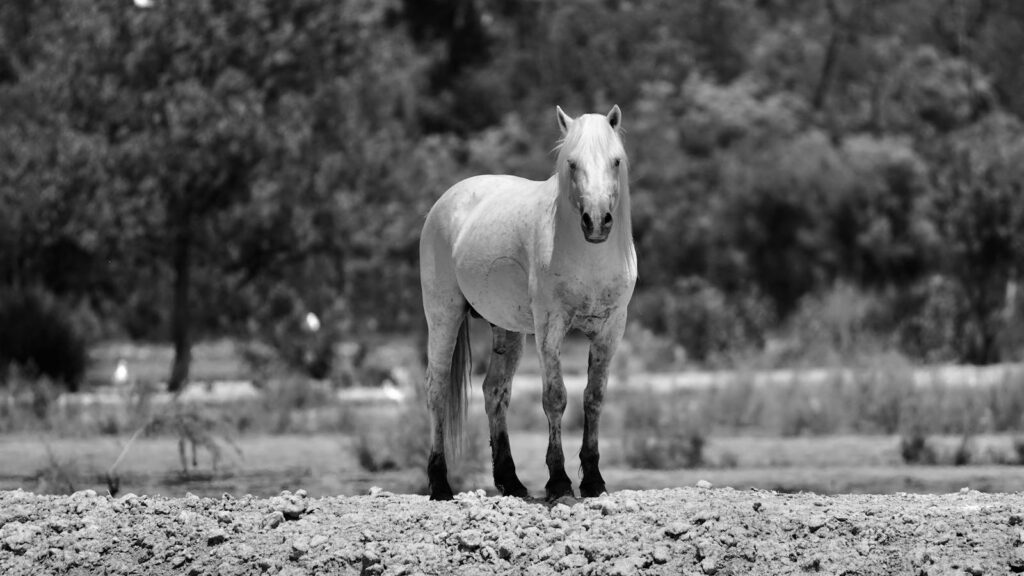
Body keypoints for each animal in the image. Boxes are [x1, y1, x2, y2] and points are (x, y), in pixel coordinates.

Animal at [419, 105, 636, 501]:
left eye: (616, 161)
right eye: (571, 163)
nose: (597, 221)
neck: (588, 255)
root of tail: (449, 198)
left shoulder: (611, 330)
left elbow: (594, 397)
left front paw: (594, 481)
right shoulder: (550, 328)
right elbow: (555, 398)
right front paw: (559, 481)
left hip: (507, 330)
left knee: (495, 391)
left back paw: (512, 482)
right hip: (443, 315)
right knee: (436, 388)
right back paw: (440, 484)